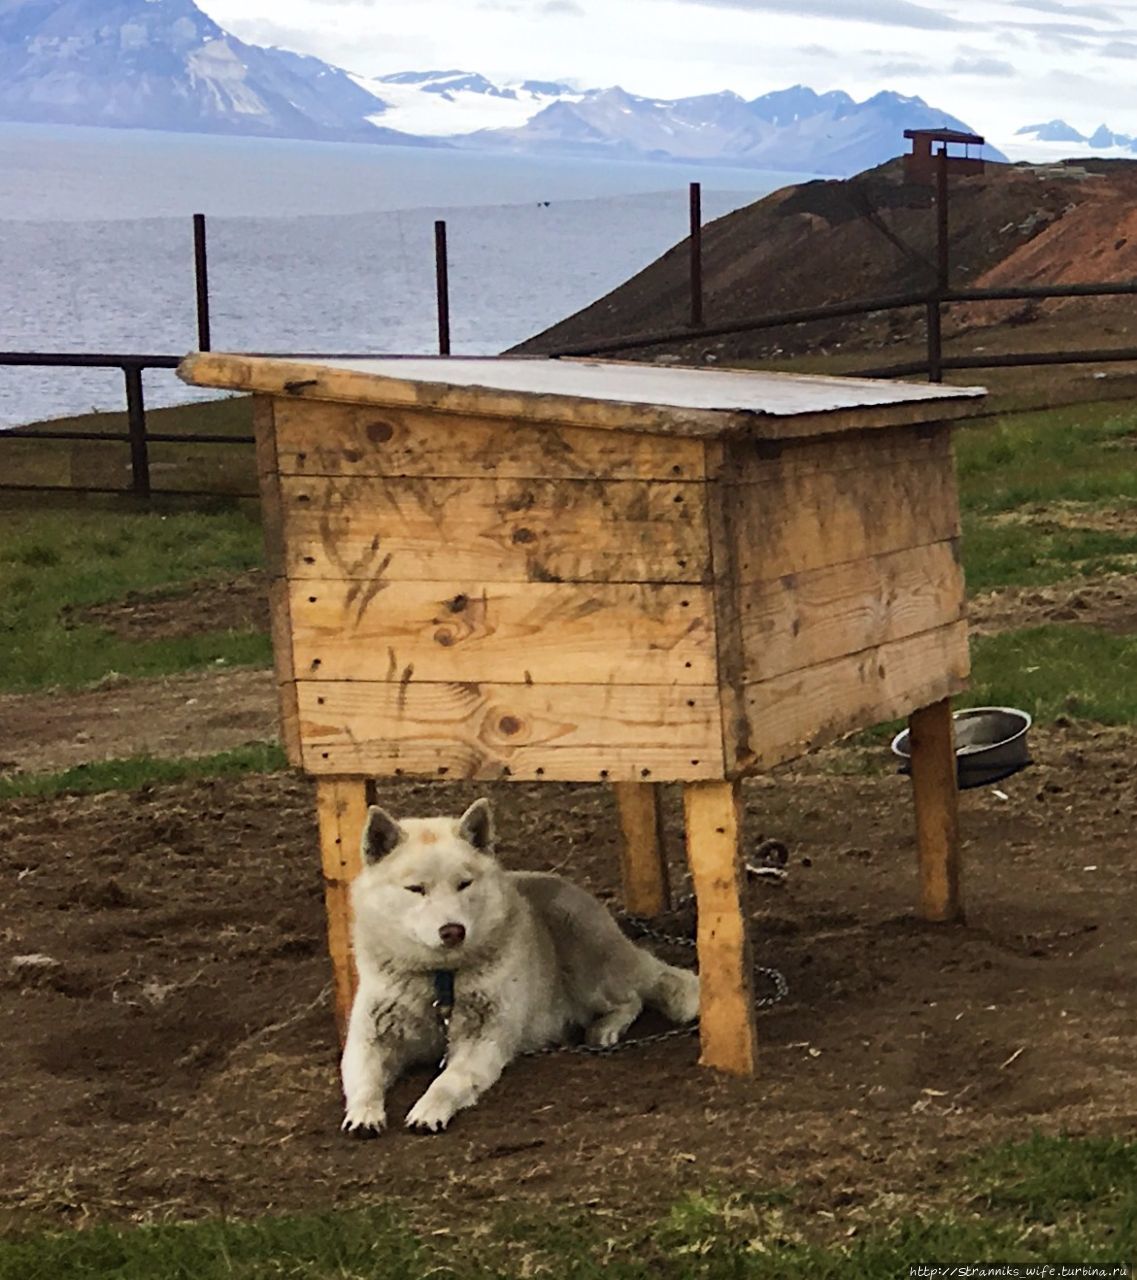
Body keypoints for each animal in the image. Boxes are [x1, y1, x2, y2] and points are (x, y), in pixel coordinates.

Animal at [338, 793, 696, 1136]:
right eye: (416, 889)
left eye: (464, 884)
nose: (453, 930)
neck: (441, 978)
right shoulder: (368, 1040)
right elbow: (364, 1082)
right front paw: (363, 1115)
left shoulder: (483, 1043)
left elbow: (446, 1082)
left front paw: (428, 1111)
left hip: (585, 967)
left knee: (631, 999)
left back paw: (604, 1029)